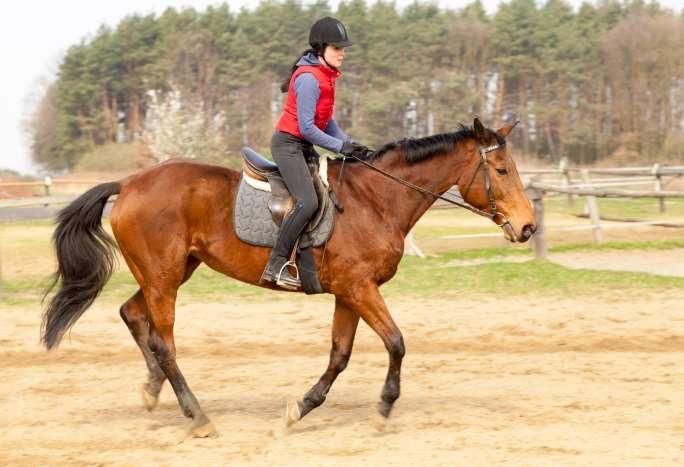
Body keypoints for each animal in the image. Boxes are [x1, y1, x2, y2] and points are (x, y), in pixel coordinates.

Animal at [40, 118, 536, 438]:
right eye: (501, 170)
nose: (527, 227)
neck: (377, 200)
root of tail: (128, 183)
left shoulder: (349, 292)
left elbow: (340, 355)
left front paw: (300, 407)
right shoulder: (360, 288)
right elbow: (396, 342)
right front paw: (382, 410)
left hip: (173, 271)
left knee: (132, 314)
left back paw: (151, 388)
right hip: (163, 275)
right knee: (163, 341)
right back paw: (197, 416)